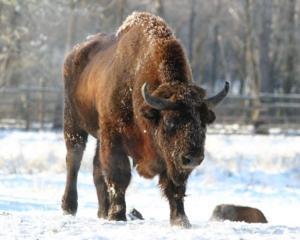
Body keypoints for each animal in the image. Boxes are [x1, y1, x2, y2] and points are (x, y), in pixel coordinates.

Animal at [61, 11, 230, 228]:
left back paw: (102, 212)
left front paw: (181, 220)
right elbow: (119, 176)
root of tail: (74, 53)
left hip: (98, 135)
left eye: (202, 123)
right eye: (170, 121)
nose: (193, 158)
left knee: (97, 169)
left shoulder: (171, 160)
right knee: (73, 160)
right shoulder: (114, 138)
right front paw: (118, 216)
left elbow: (175, 187)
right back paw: (69, 208)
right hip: (73, 123)